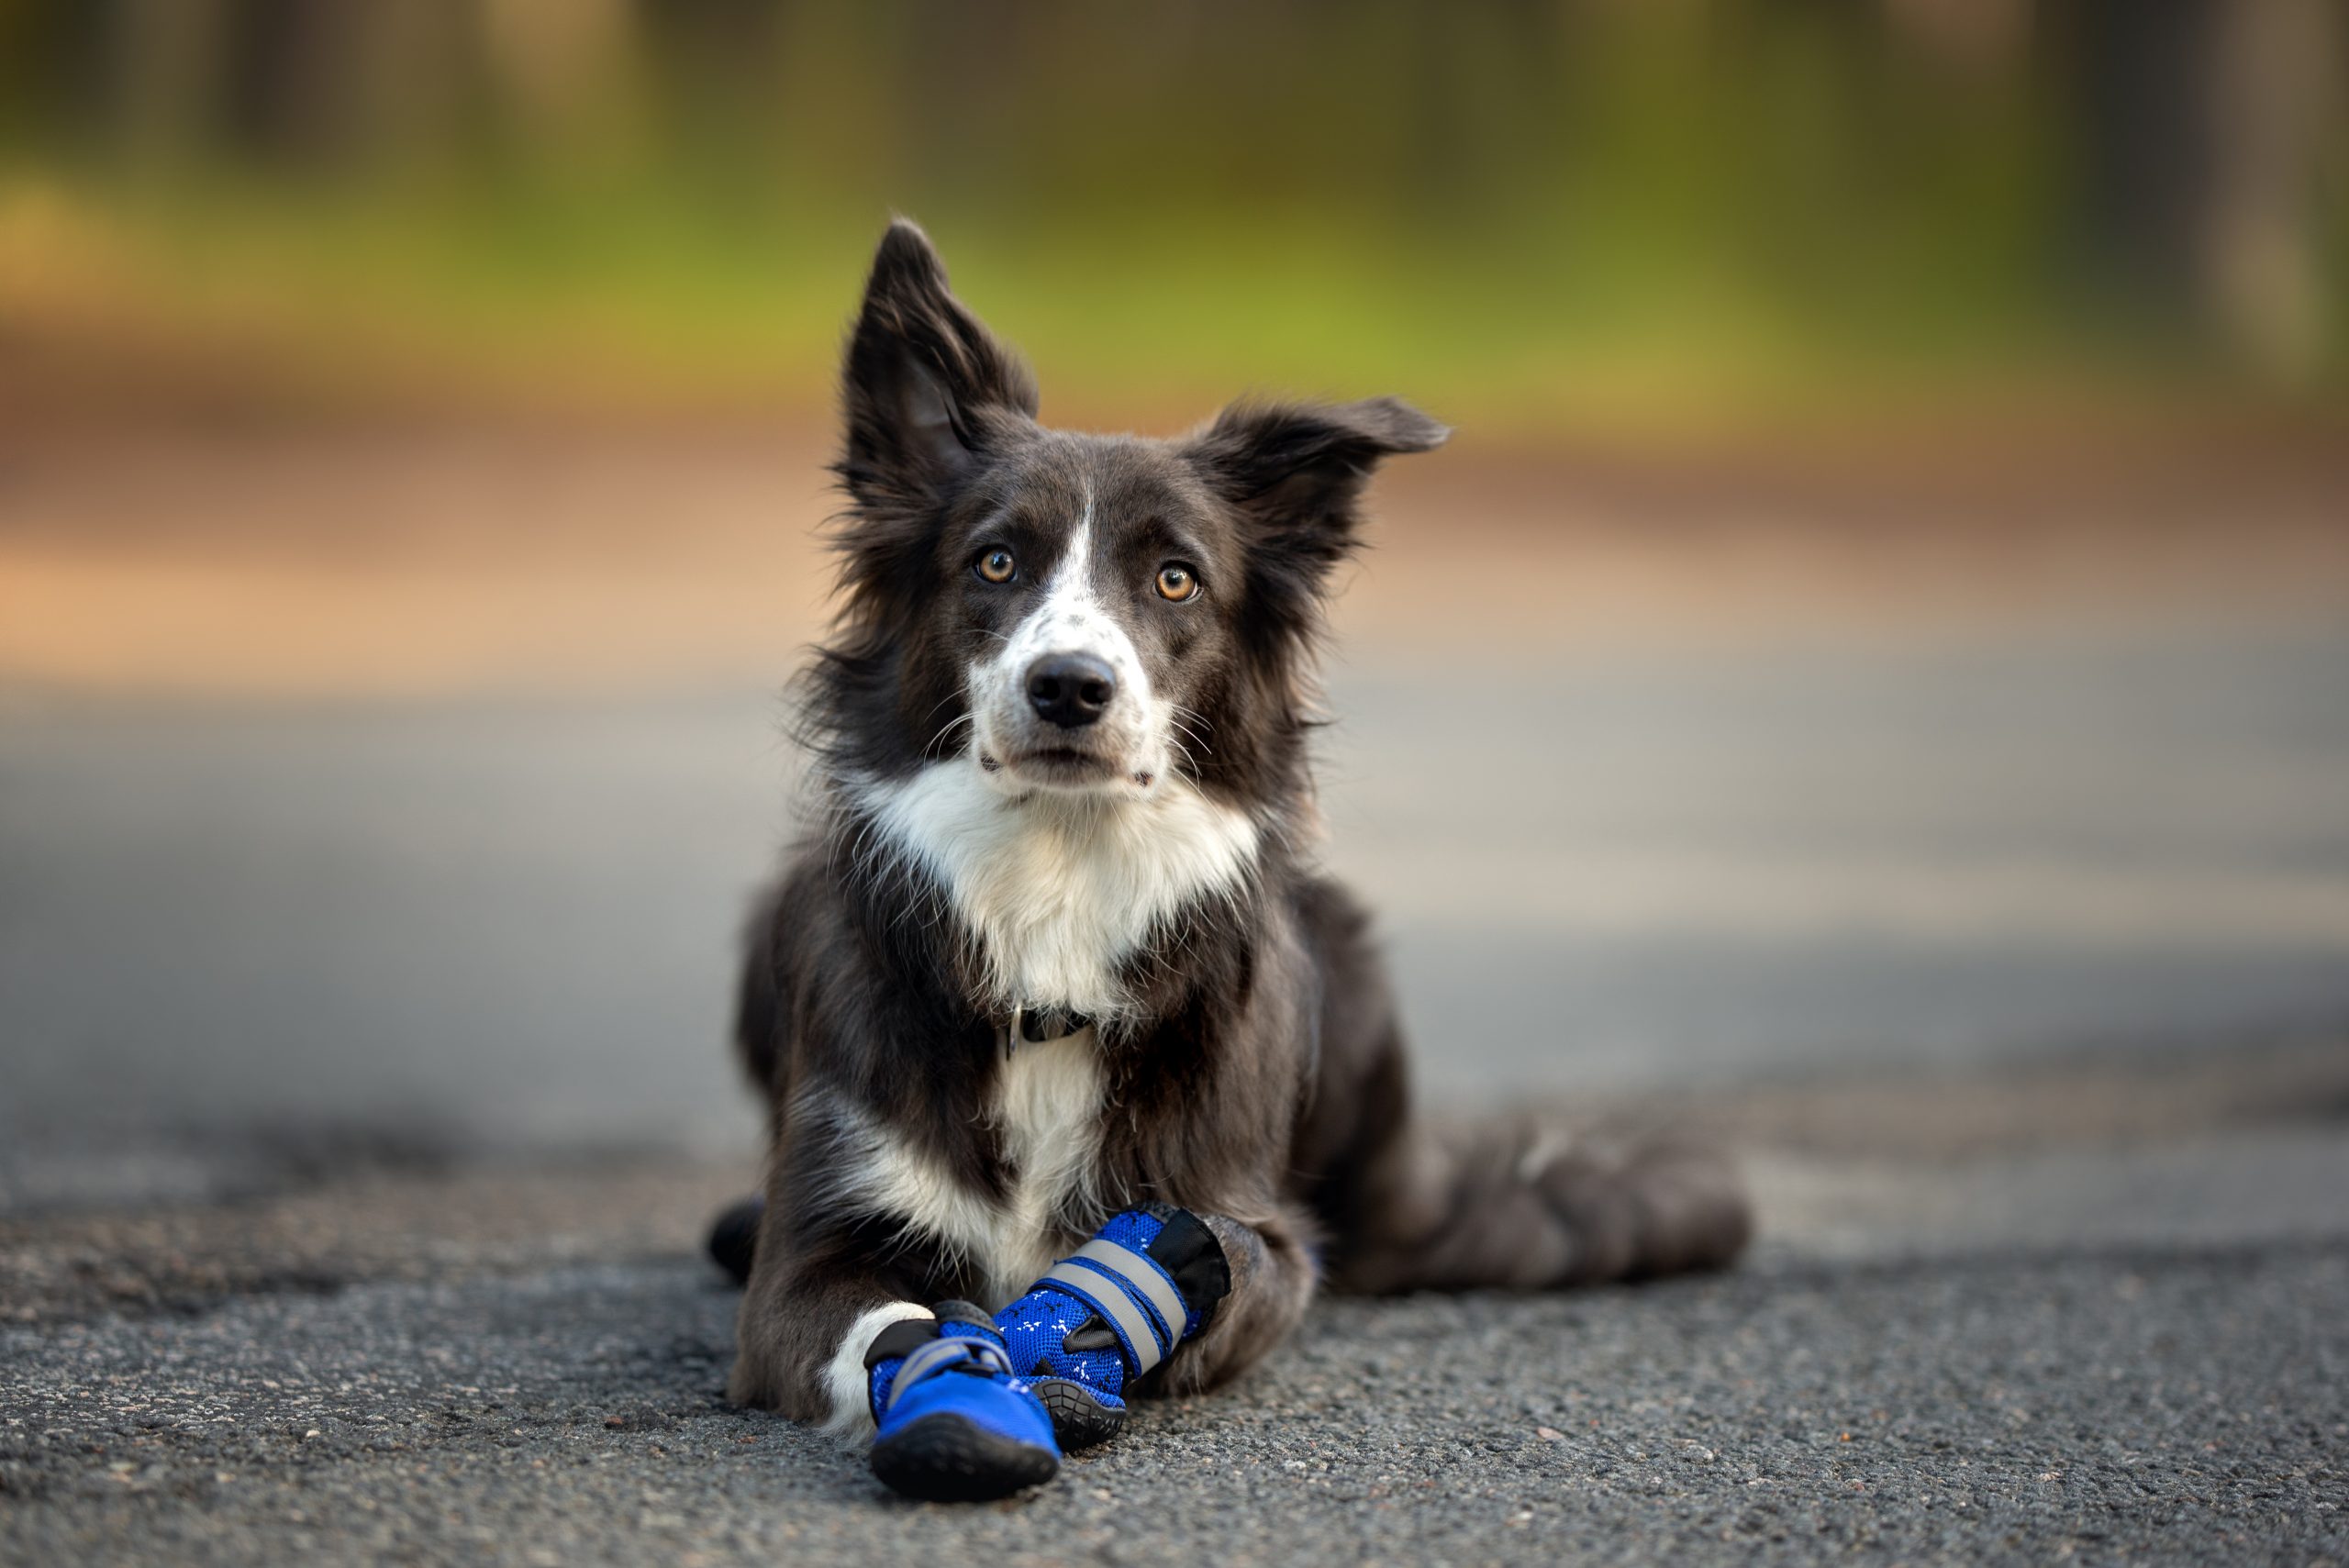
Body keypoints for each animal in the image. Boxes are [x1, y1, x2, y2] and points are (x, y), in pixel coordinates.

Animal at [714, 217, 1747, 1493]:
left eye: (1176, 578)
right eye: (995, 563)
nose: (1069, 687)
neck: (1056, 894)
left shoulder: (1249, 1222)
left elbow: (1224, 1270)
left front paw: (1094, 1329)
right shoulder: (812, 1249)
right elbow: (879, 1320)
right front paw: (953, 1379)